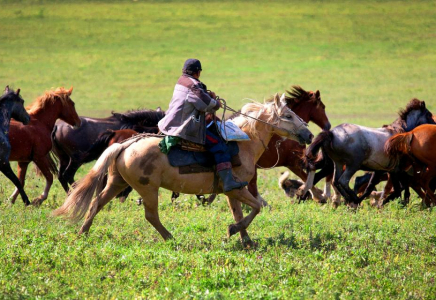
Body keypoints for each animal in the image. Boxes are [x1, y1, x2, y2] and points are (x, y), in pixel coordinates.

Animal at [54, 93, 314, 246]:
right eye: (288, 115)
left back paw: (82, 233)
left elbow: (240, 213)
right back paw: (171, 238)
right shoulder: (238, 189)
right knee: (151, 215)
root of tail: (125, 144)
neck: (243, 142)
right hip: (147, 189)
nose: (309, 135)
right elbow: (256, 208)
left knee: (96, 203)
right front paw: (233, 231)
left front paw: (245, 239)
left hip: (117, 182)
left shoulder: (232, 191)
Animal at [304, 98, 434, 206]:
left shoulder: (383, 170)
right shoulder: (396, 170)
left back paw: (350, 200)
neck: (401, 134)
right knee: (343, 181)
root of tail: (331, 133)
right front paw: (380, 204)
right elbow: (397, 190)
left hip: (338, 163)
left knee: (336, 181)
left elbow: (372, 187)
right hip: (353, 164)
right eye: (429, 114)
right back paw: (352, 199)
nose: (434, 126)